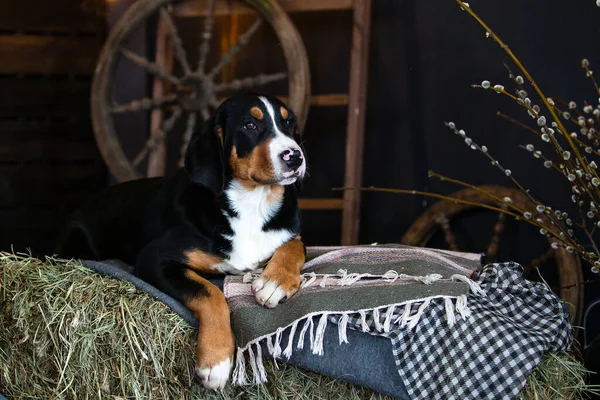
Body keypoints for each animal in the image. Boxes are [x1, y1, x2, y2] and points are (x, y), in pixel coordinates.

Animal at [54, 93, 308, 390]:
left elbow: (294, 246)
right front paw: (216, 360)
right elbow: (210, 293)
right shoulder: (154, 258)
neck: (252, 204)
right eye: (249, 125)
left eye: (288, 123)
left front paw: (275, 282)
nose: (295, 156)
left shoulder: (291, 232)